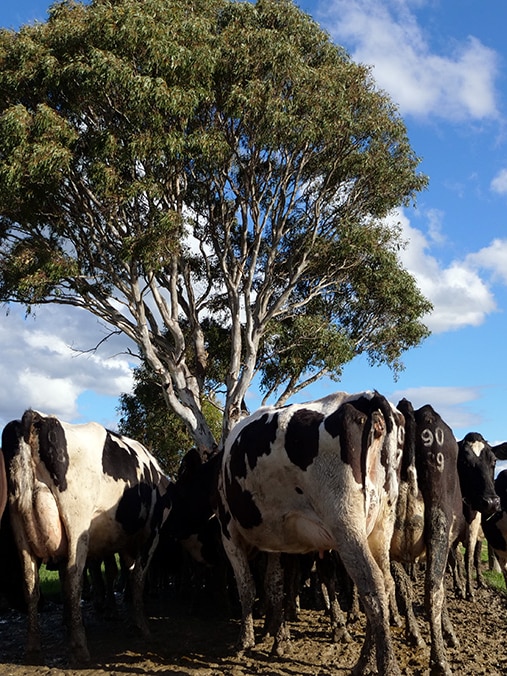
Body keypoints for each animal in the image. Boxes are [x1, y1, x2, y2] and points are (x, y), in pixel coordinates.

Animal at [0, 410, 173, 664]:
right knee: (74, 579)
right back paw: (79, 647)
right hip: (76, 526)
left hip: (21, 532)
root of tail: (36, 417)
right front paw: (142, 627)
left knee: (30, 584)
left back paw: (33, 650)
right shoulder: (152, 534)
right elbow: (137, 578)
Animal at [217, 390, 404, 676]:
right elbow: (274, 584)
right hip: (380, 525)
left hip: (346, 525)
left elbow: (246, 586)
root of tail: (366, 397)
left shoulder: (228, 531)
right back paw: (365, 660)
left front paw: (245, 640)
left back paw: (386, 665)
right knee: (385, 582)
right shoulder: (276, 539)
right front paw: (275, 635)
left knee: (372, 585)